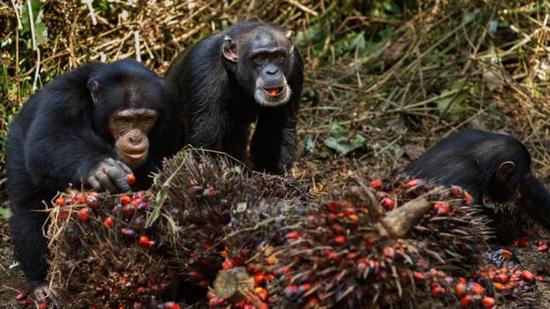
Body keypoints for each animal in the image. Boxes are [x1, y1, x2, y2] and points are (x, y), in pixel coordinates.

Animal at [5, 58, 181, 300]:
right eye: (124, 119)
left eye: (145, 119)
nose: (135, 138)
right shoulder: (61, 97)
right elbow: (51, 138)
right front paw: (102, 168)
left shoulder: (172, 111)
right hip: (16, 140)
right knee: (29, 207)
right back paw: (41, 282)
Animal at [168, 20, 306, 174]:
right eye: (260, 58)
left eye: (279, 56)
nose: (272, 72)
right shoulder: (204, 72)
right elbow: (205, 146)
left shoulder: (295, 68)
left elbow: (275, 131)